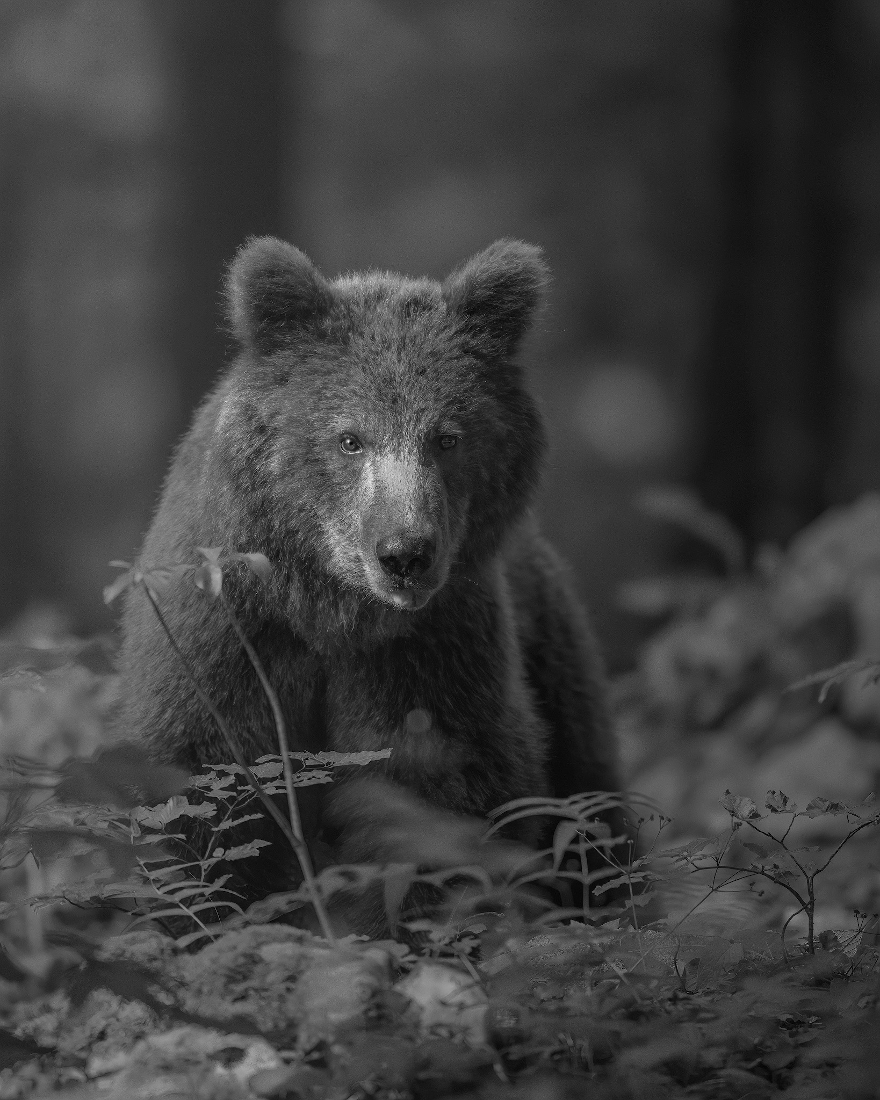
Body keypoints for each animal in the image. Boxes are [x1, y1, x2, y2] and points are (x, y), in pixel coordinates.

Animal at [118, 236, 622, 905]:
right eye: (349, 438)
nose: (405, 551)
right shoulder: (228, 640)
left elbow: (433, 804)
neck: (330, 610)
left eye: (447, 437)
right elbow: (199, 810)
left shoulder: (431, 654)